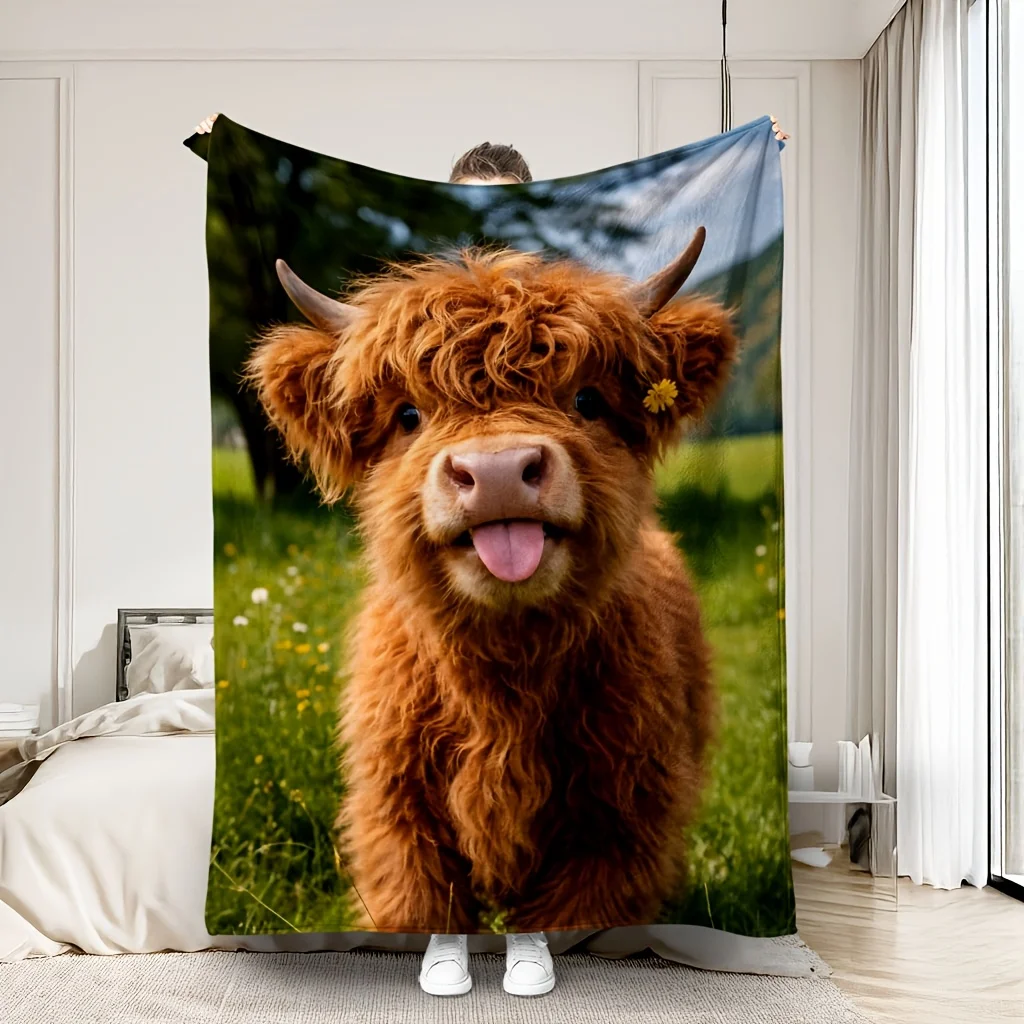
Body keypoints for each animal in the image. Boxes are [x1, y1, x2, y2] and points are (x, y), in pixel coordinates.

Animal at [246, 227, 737, 932]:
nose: (500, 470)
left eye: (586, 399)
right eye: (408, 415)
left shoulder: (618, 831)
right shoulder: (397, 818)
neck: (503, 685)